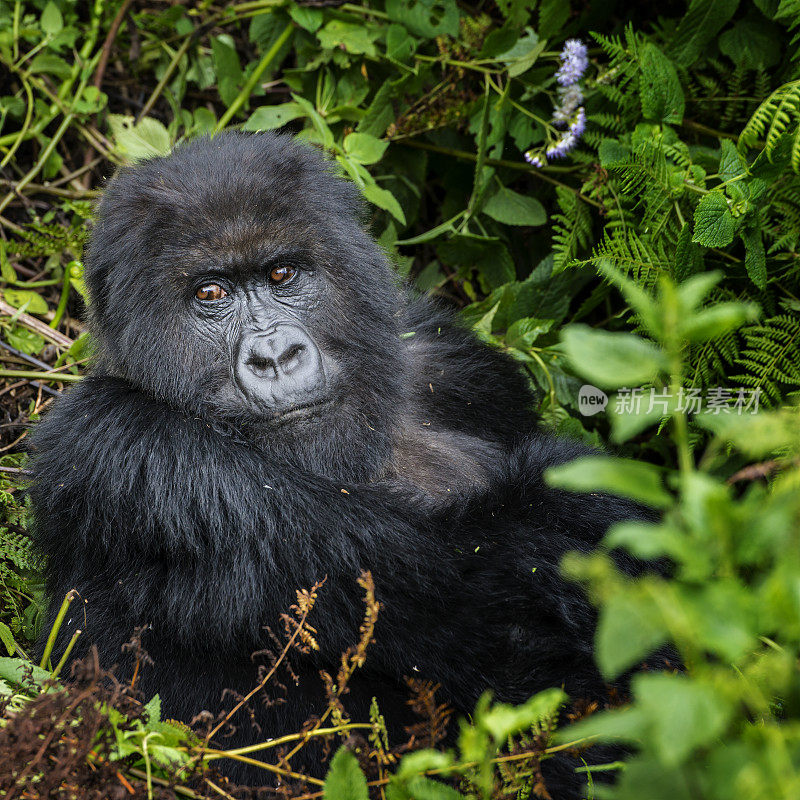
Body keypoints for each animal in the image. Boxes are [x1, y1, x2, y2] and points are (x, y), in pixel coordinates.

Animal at [29, 131, 644, 792]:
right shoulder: (118, 445)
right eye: (210, 294)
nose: (276, 355)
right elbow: (468, 589)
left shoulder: (459, 363)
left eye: (282, 273)